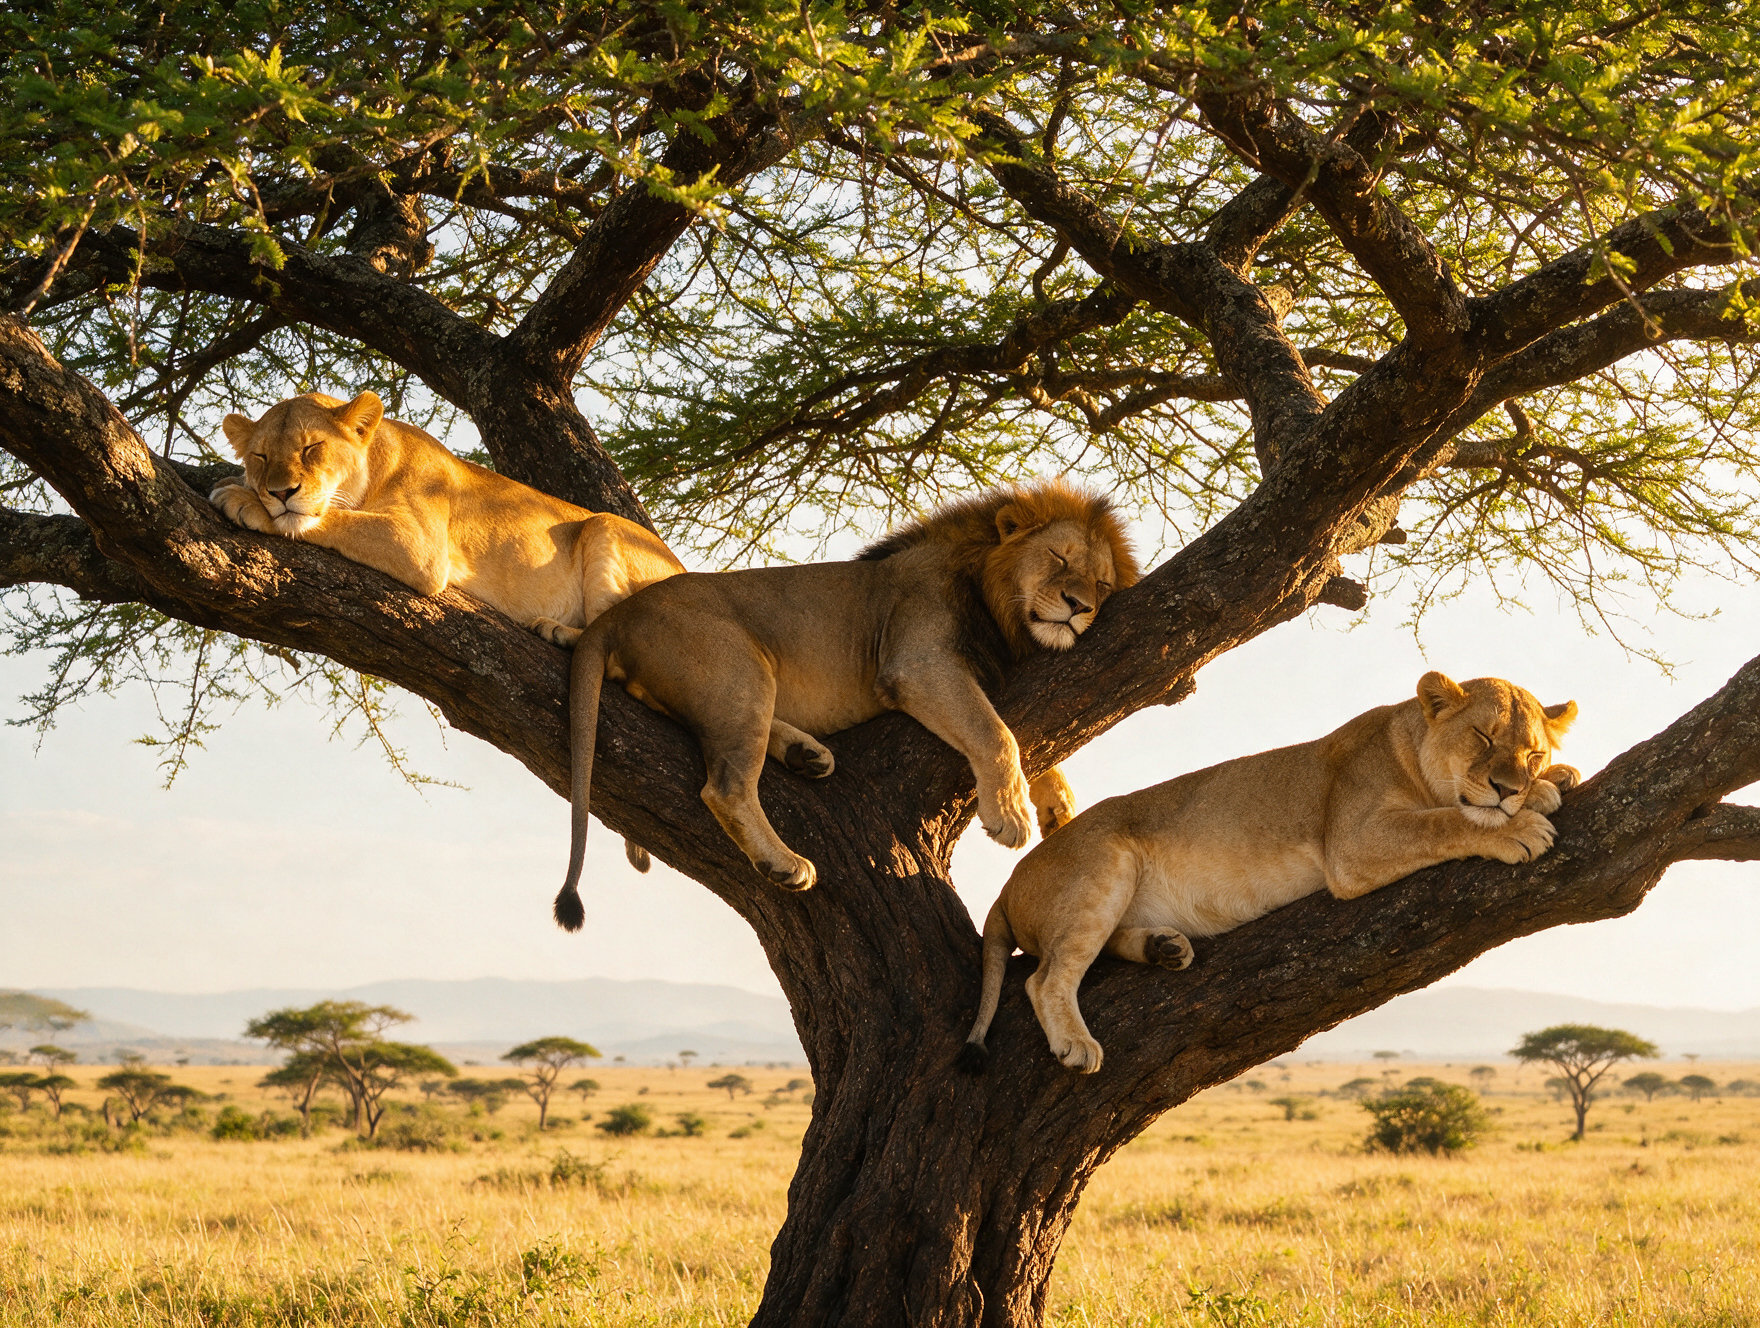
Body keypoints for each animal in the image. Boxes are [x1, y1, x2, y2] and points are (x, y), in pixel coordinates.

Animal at [211, 390, 684, 870]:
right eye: (260, 456)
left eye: (311, 448)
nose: (279, 492)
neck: (378, 461)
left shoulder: (418, 544)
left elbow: (321, 518)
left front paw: (245, 500)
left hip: (607, 525)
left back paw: (557, 631)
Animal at [552, 479, 1140, 930]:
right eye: (1058, 557)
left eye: (1102, 582)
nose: (1079, 605)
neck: (994, 600)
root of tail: (619, 615)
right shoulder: (918, 664)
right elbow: (997, 732)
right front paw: (1011, 815)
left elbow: (1028, 739)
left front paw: (1057, 802)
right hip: (742, 667)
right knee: (726, 787)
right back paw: (785, 862)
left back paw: (804, 754)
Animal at [958, 672, 1580, 1074]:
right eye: (1483, 737)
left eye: (1532, 753)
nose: (1508, 787)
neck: (1411, 751)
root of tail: (1006, 887)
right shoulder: (1352, 844)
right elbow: (1447, 821)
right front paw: (1519, 824)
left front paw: (1554, 782)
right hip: (1104, 861)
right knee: (1046, 976)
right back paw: (1076, 1043)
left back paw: (1164, 948)